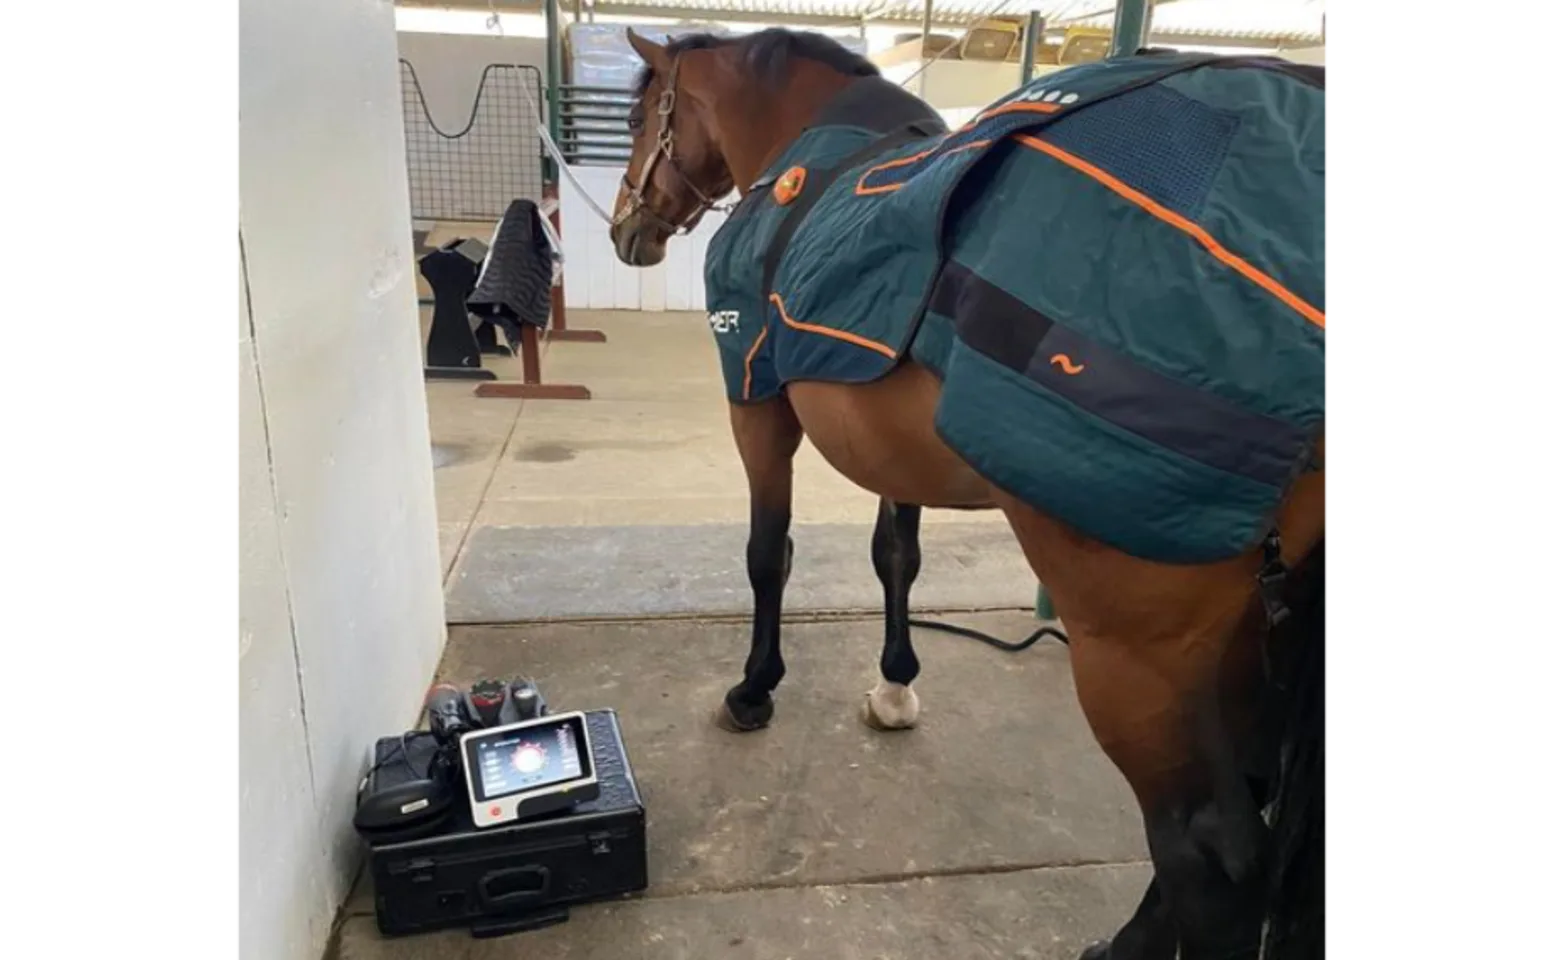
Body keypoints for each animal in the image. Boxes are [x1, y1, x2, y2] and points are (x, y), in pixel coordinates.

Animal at [607, 28, 1326, 960]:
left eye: (637, 118)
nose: (627, 228)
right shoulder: (890, 446)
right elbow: (896, 557)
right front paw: (895, 686)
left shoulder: (756, 401)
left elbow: (769, 554)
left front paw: (754, 688)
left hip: (1137, 652)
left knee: (1205, 846)